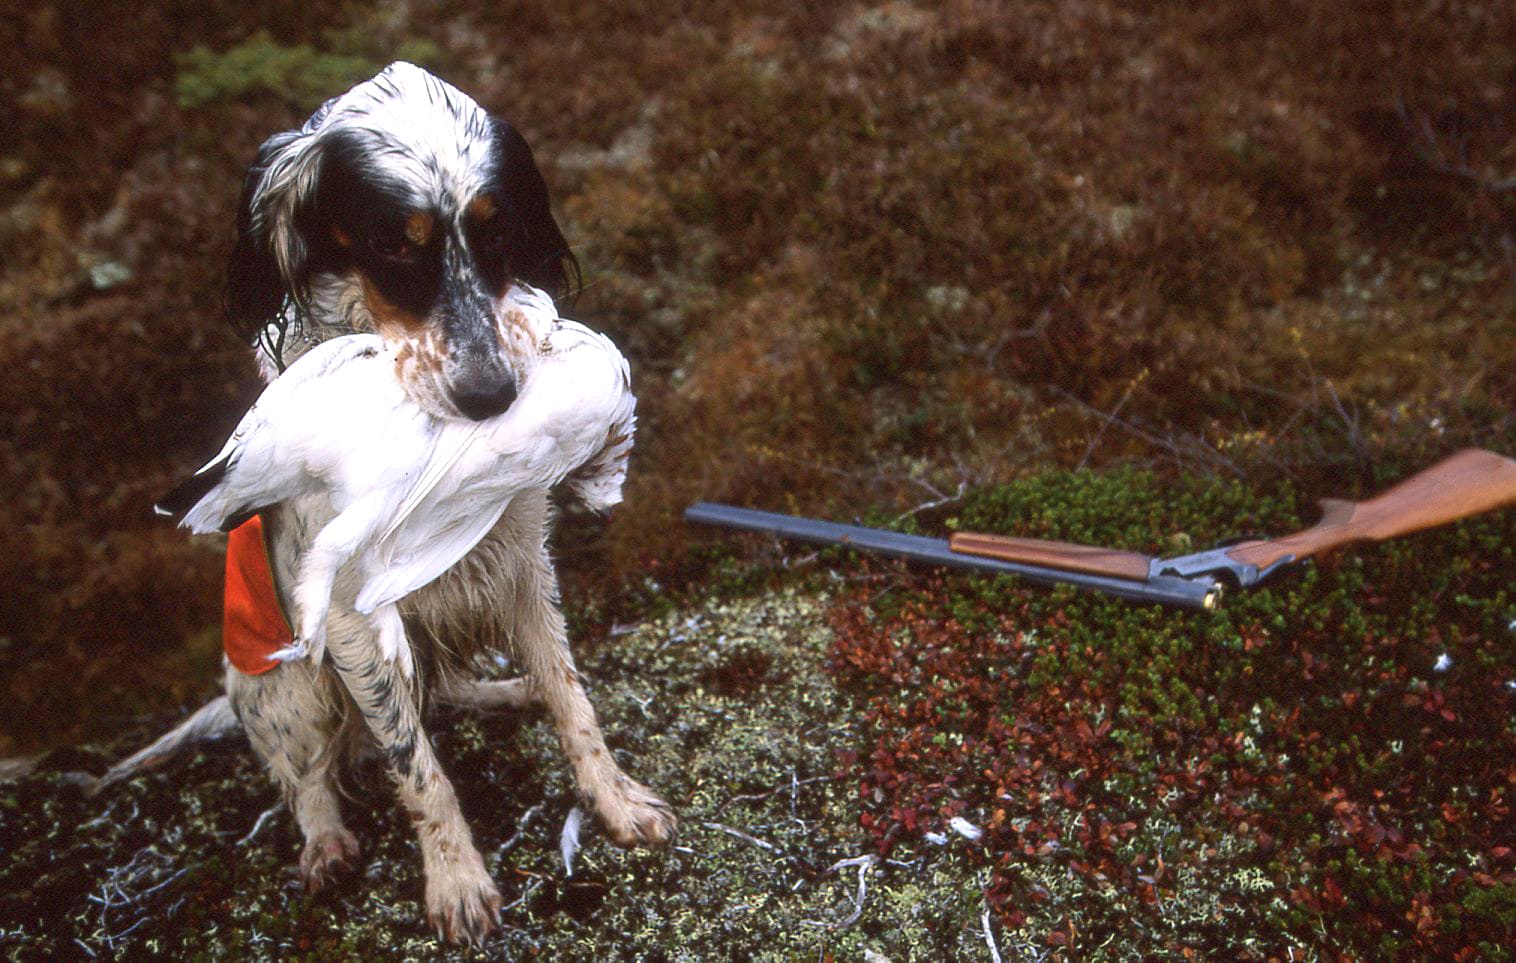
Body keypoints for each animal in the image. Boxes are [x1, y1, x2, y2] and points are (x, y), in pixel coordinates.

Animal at [114, 62, 674, 943]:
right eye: (392, 243)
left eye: (497, 232)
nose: (492, 396)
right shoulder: (351, 622)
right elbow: (417, 768)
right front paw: (457, 880)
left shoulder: (523, 565)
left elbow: (571, 698)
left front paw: (614, 799)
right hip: (286, 685)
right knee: (308, 774)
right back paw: (327, 842)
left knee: (452, 692)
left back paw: (504, 690)